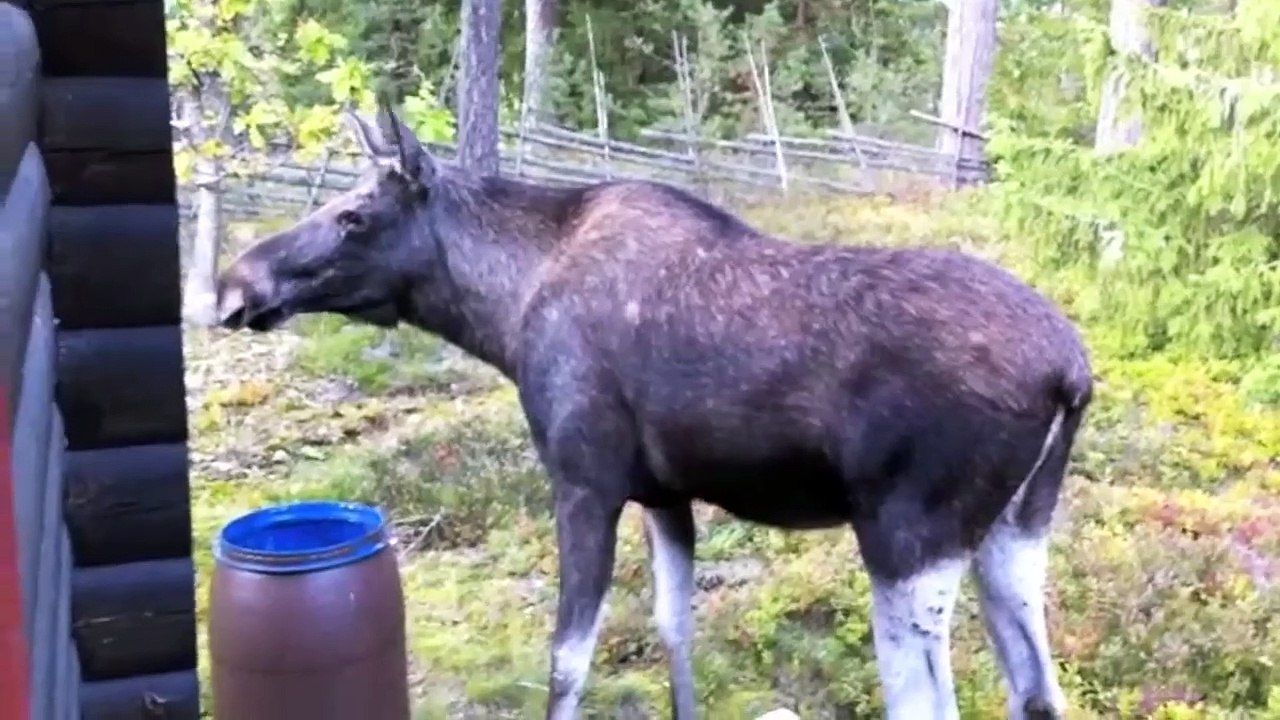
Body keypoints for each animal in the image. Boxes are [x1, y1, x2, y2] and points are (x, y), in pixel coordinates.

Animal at [215, 99, 1093, 720]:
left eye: (354, 215)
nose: (234, 284)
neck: (503, 315)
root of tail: (1072, 373)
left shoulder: (583, 482)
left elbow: (568, 658)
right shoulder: (664, 494)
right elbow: (675, 629)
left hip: (909, 537)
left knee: (931, 703)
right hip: (1016, 529)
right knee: (1039, 690)